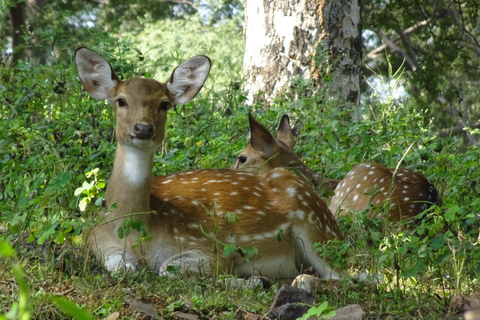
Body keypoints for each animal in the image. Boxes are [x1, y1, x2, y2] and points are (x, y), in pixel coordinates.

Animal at [77, 47, 350, 282]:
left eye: (164, 104)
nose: (143, 128)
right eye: (120, 101)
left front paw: (249, 280)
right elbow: (121, 268)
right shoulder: (95, 242)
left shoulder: (208, 247)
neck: (135, 231)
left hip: (317, 229)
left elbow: (168, 268)